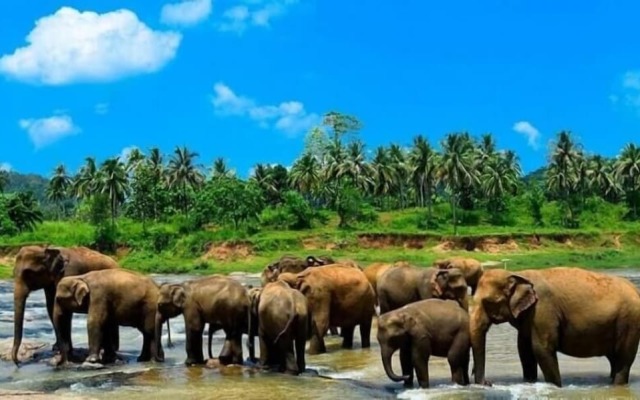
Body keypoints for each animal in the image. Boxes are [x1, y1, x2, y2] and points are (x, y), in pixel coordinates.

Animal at [468, 266, 640, 388]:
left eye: (491, 302)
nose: (488, 382)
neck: (518, 274)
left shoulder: (543, 309)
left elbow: (541, 349)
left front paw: (556, 387)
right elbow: (524, 350)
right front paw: (530, 382)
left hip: (629, 321)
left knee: (623, 359)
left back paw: (616, 386)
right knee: (614, 358)